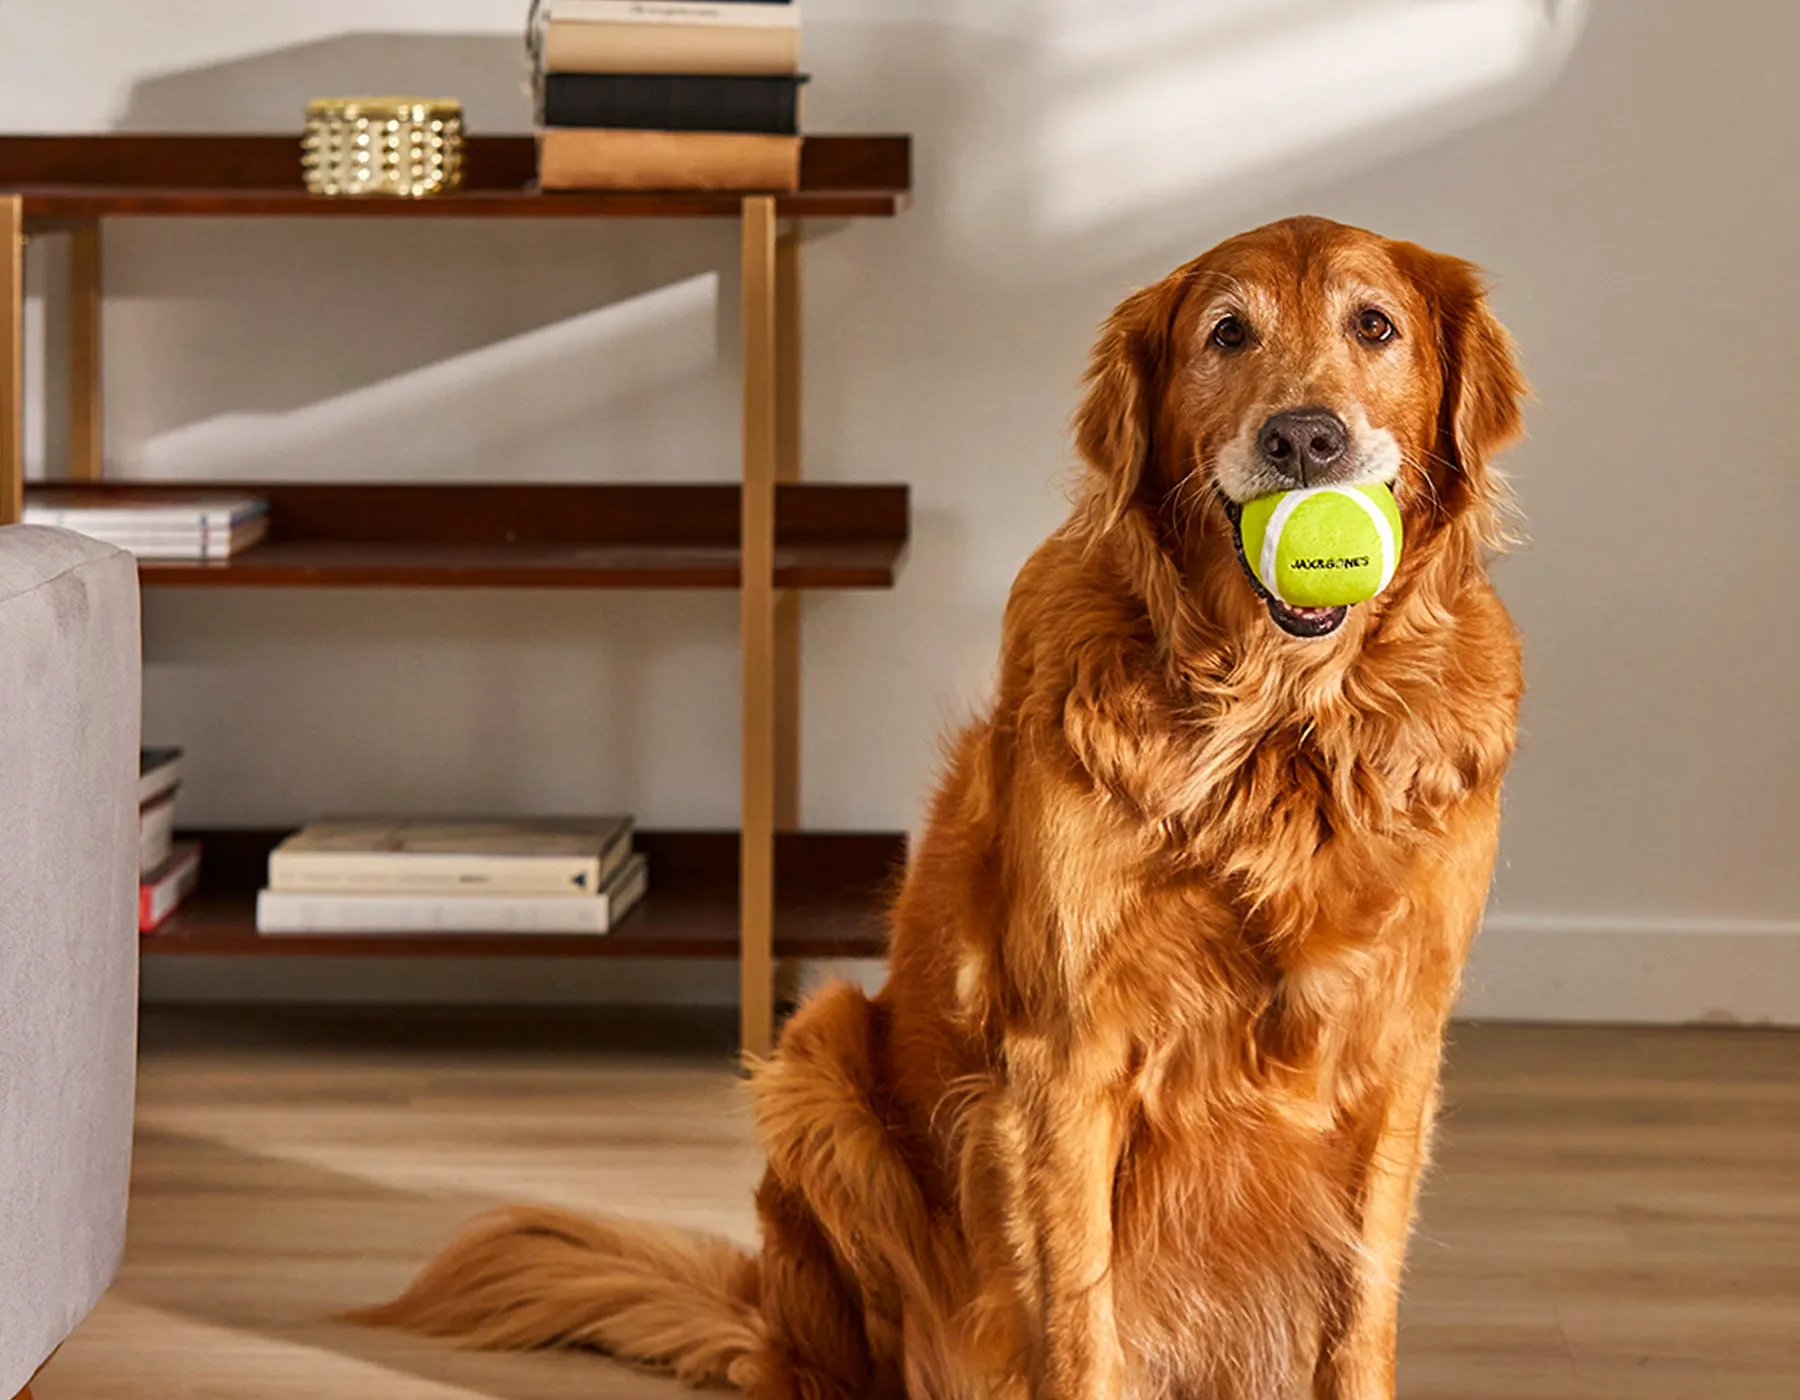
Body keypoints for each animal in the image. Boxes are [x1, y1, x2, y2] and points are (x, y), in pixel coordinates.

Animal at [354, 209, 1533, 1396]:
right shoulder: (1065, 1052)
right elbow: (1079, 1321)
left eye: (1373, 326)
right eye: (1227, 333)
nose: (1305, 441)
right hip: (820, 1064)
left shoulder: (1394, 1052)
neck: (1282, 731)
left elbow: (1357, 1316)